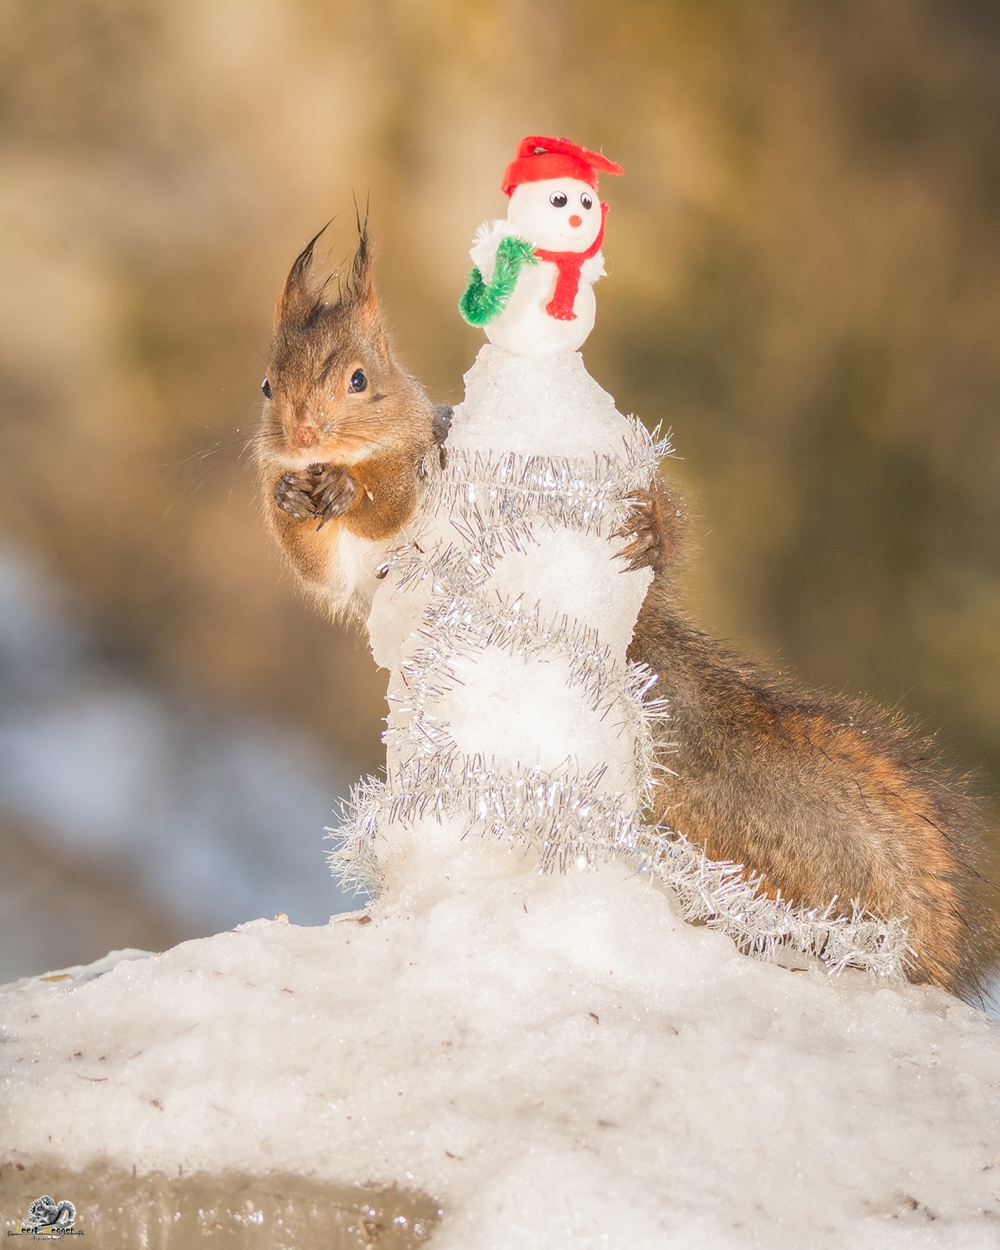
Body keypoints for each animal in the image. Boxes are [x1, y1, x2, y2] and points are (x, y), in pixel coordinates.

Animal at [260, 230, 1000, 1000]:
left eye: (358, 380)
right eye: (267, 387)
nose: (303, 434)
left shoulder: (421, 465)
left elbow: (392, 498)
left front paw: (348, 489)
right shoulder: (330, 560)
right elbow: (313, 560)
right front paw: (289, 497)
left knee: (661, 528)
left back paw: (648, 533)